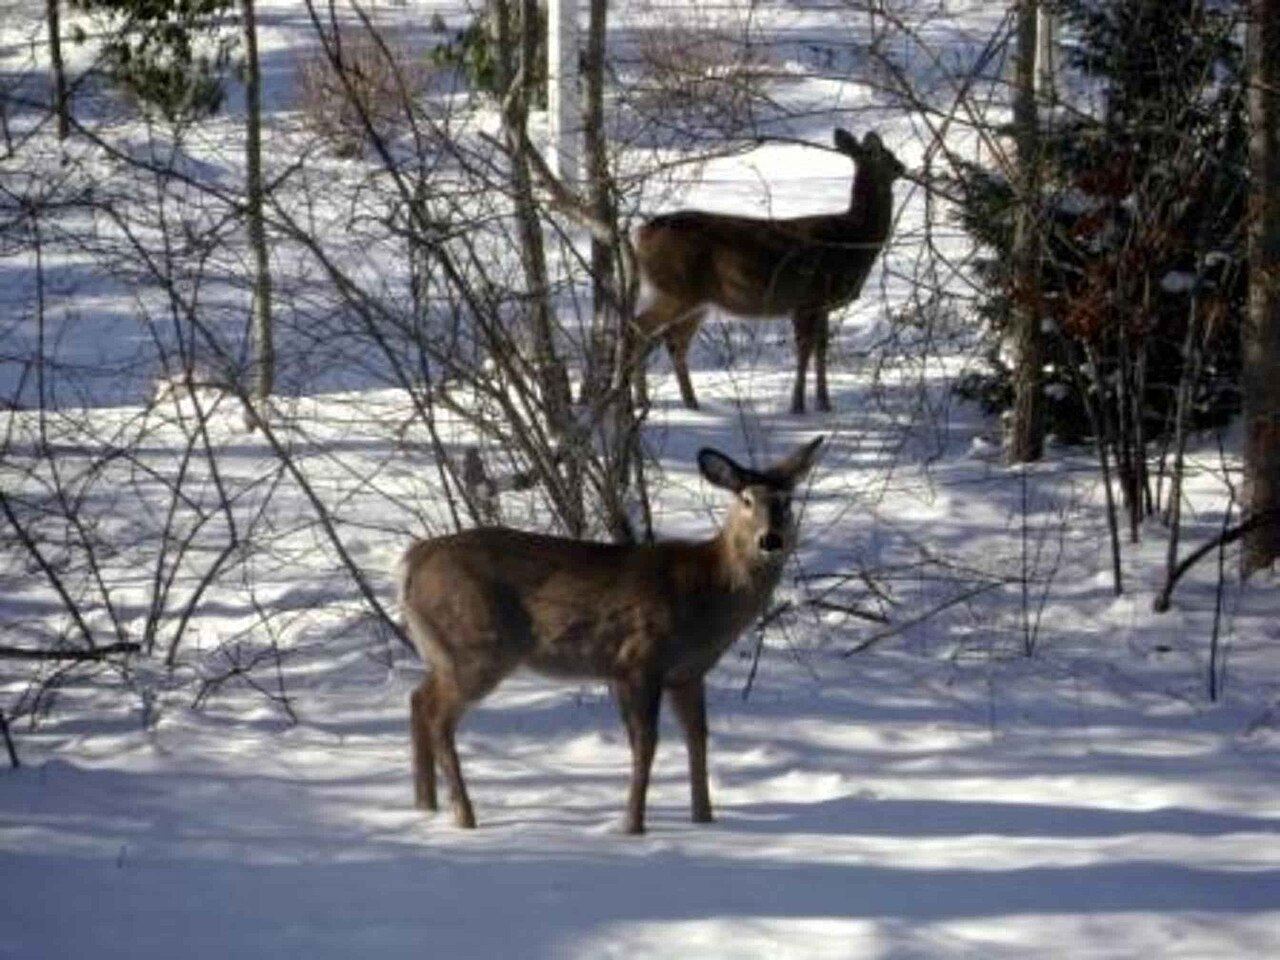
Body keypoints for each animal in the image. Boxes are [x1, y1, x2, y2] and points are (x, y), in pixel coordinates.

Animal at [397, 436, 824, 834]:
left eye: (786, 500)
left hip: (446, 650)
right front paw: (632, 825)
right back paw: (464, 816)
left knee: (418, 699)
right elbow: (646, 743)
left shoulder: (687, 672)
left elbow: (698, 737)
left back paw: (424, 807)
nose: (770, 540)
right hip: (475, 646)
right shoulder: (640, 658)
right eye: (746, 499)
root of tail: (410, 562)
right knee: (437, 716)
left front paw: (704, 819)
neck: (707, 593)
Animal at [628, 129, 905, 414]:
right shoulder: (807, 300)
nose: (901, 167)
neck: (850, 239)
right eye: (879, 153)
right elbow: (805, 351)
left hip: (696, 301)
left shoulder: (821, 305)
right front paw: (798, 406)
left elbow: (821, 351)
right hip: (675, 289)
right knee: (640, 330)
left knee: (674, 341)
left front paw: (824, 403)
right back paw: (643, 400)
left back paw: (689, 402)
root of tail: (639, 235)